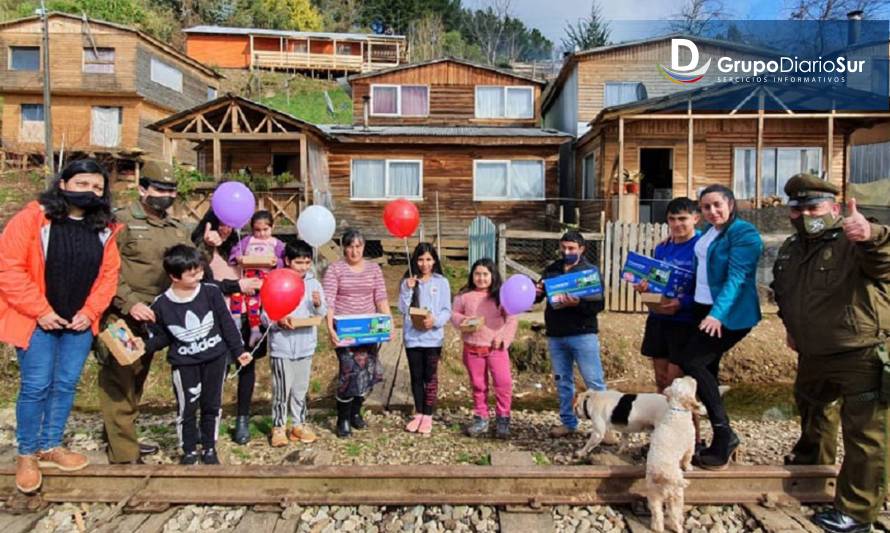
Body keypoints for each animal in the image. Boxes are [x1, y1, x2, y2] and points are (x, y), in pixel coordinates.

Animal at [640, 374, 696, 532]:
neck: (677, 409)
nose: (690, 376)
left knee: (657, 514)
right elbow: (688, 458)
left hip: (653, 495)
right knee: (674, 515)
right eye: (690, 384)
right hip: (676, 494)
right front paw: (689, 467)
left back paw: (657, 528)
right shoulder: (690, 444)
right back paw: (679, 527)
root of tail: (661, 475)